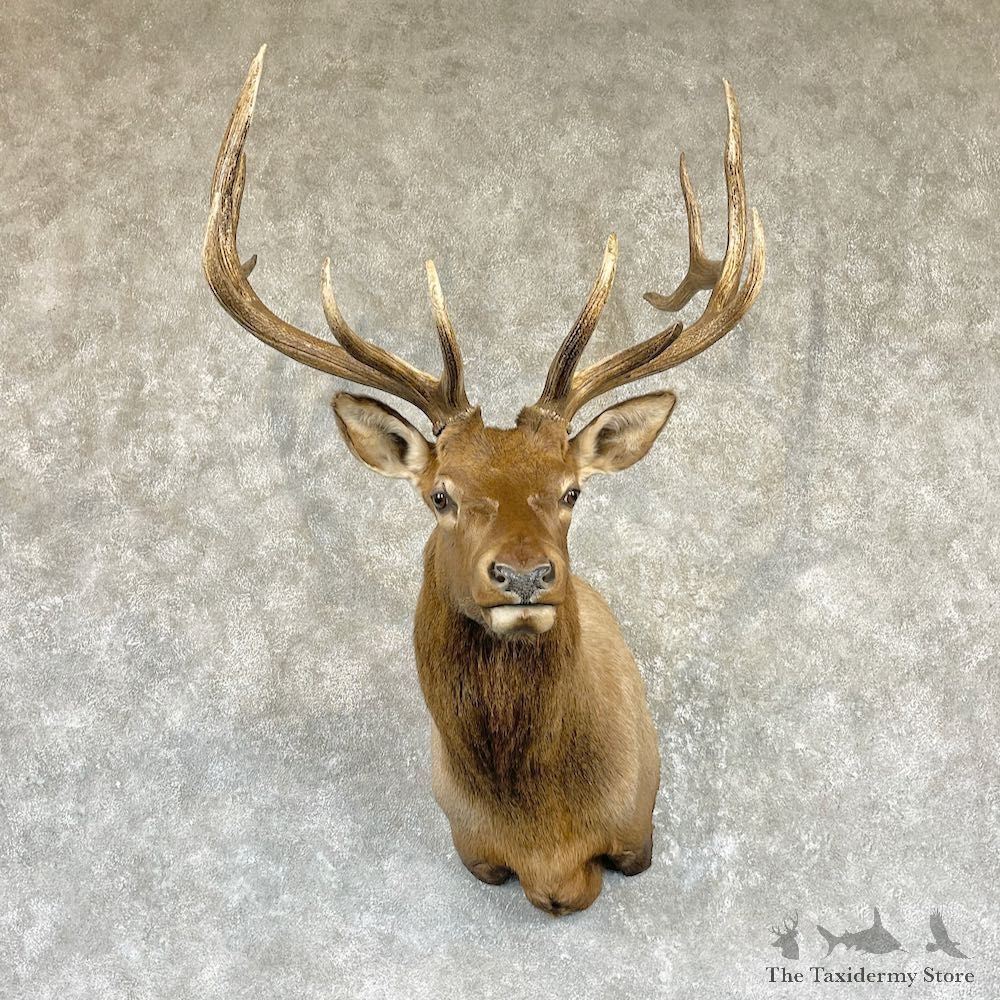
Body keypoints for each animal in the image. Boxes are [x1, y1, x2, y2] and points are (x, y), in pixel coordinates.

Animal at [203, 46, 765, 916]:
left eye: (572, 490)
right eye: (441, 495)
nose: (526, 574)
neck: (546, 842)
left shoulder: (638, 833)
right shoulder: (472, 849)